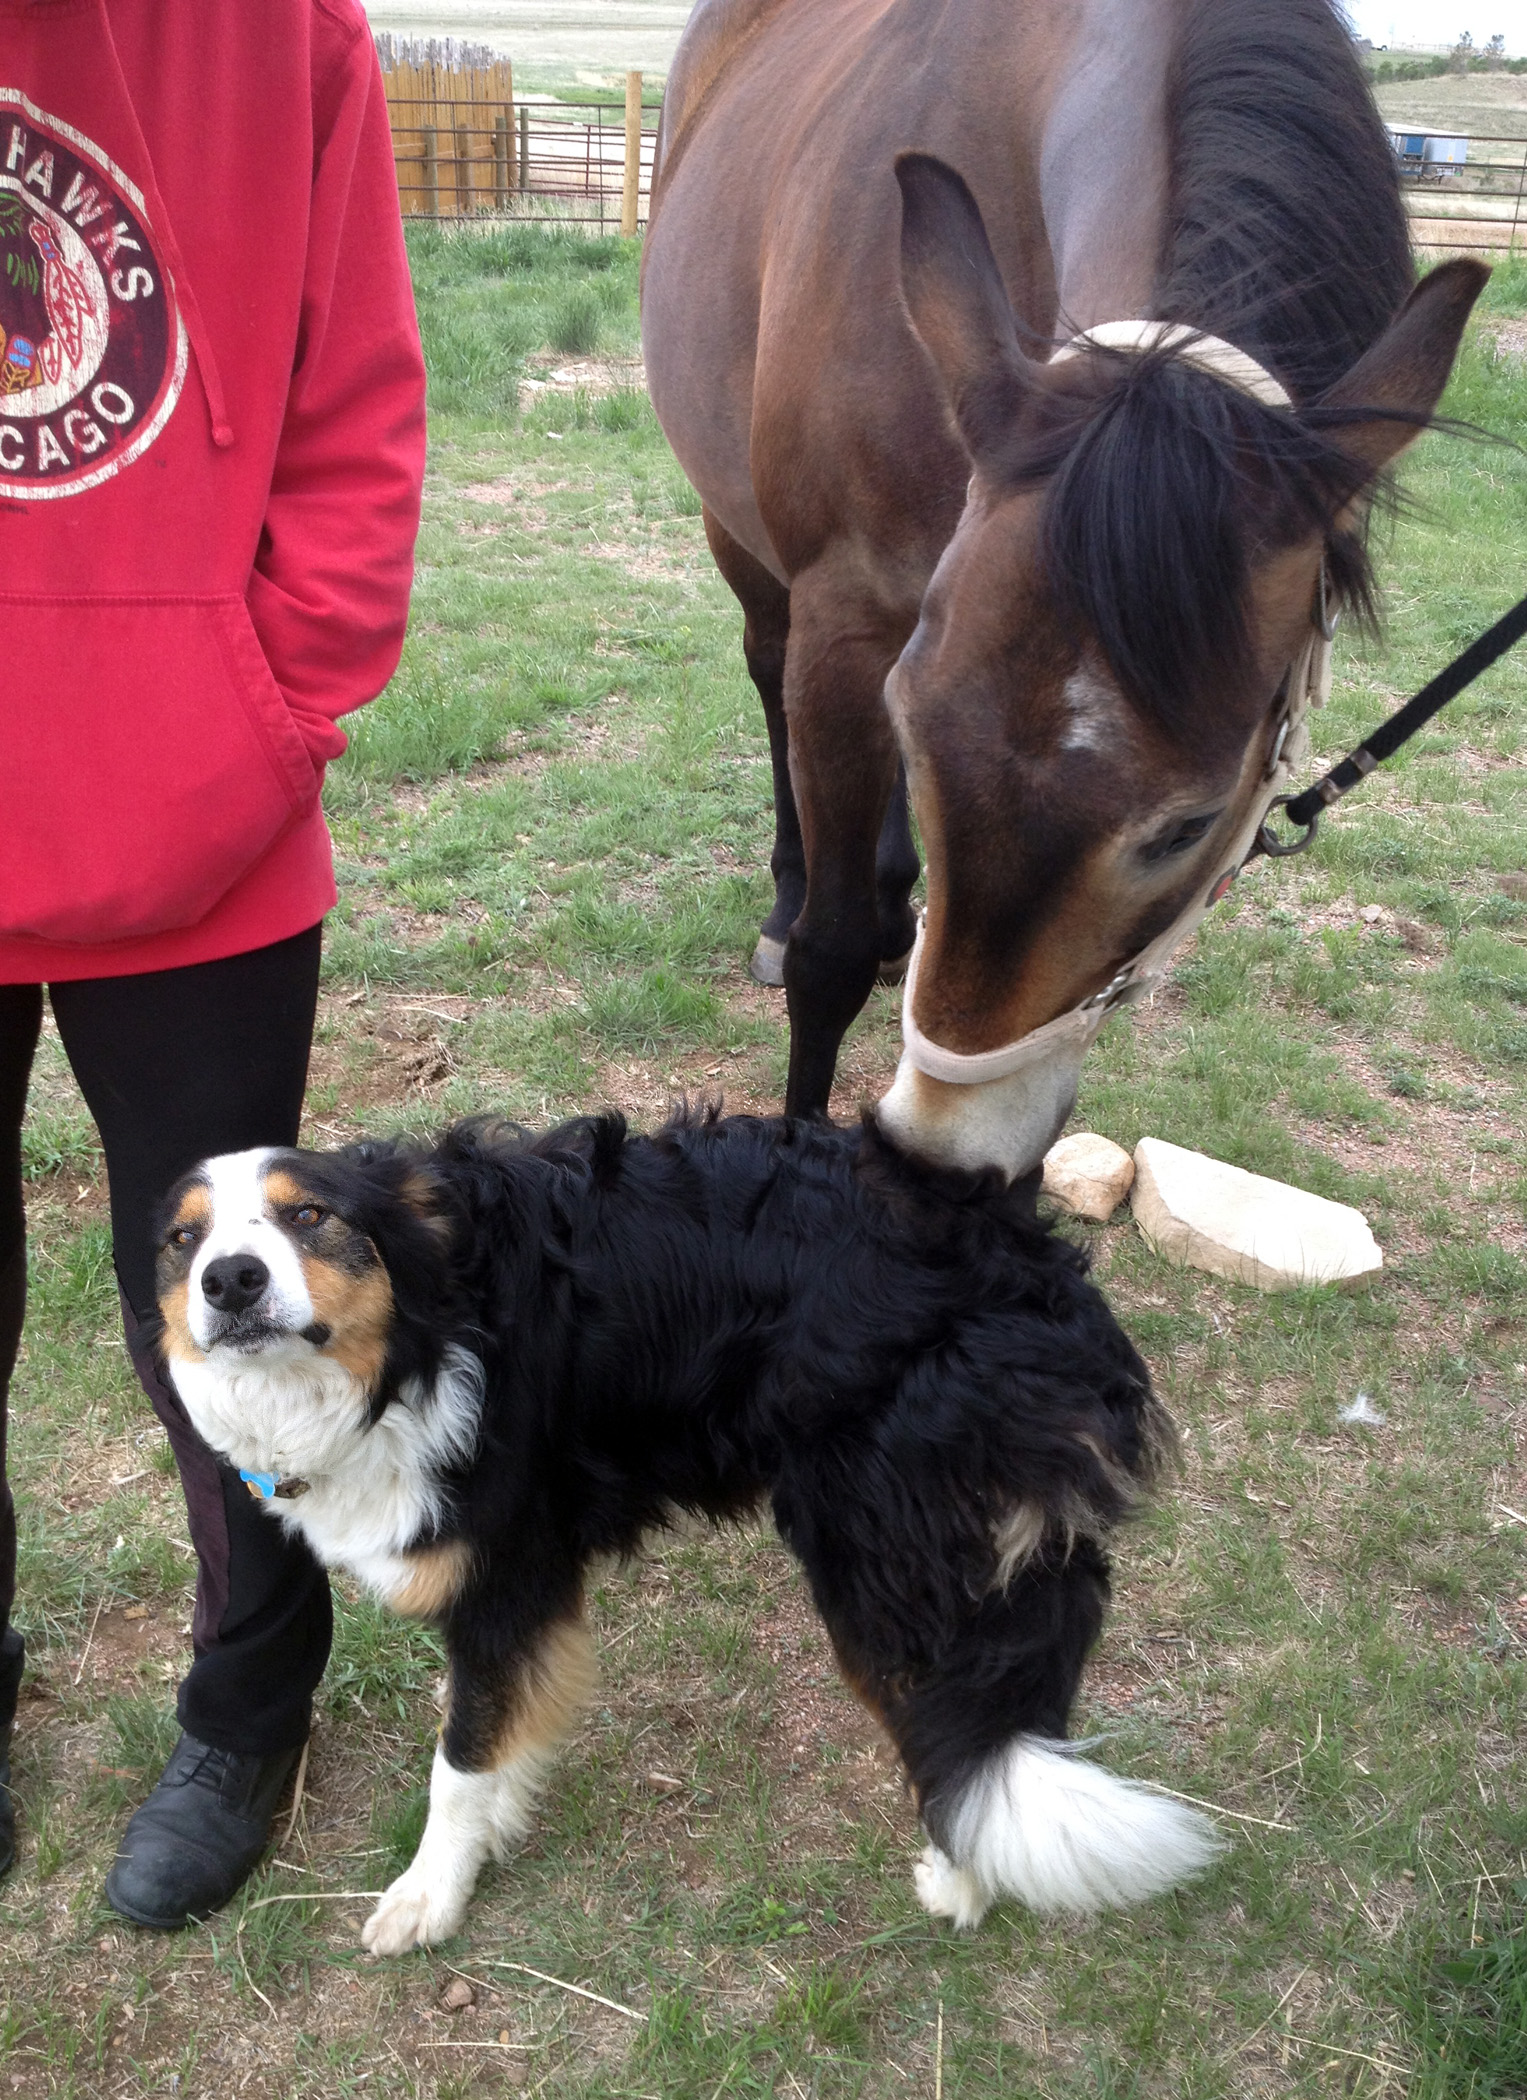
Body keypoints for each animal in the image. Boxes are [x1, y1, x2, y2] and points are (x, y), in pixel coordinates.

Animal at [152, 1108, 1223, 1953]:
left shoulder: (504, 1577)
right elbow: (505, 1730)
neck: (419, 1340)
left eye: (308, 1215)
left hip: (875, 1556)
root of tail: (1028, 1268)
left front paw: (430, 1895)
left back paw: (960, 1877)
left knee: (956, 1716)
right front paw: (500, 1821)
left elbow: (457, 1761)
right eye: (182, 1240)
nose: (231, 1281)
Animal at [641, 0, 1484, 1176]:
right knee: (767, 675)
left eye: (1188, 825)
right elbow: (831, 953)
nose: (941, 1154)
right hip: (745, 542)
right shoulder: (846, 620)